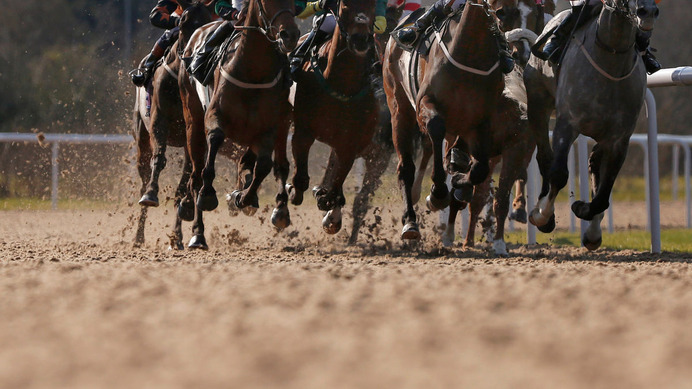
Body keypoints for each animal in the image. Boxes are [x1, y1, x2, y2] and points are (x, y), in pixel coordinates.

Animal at [130, 0, 216, 249]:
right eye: (184, 22)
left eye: (208, 24)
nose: (193, 58)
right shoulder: (159, 120)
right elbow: (159, 159)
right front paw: (151, 195)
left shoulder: (193, 131)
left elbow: (188, 183)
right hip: (141, 137)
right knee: (144, 175)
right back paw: (138, 236)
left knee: (183, 186)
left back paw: (177, 236)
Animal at [180, 0, 298, 249]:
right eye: (266, 2)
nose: (290, 35)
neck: (253, 72)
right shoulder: (213, 117)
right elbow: (214, 146)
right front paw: (208, 194)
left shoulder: (268, 128)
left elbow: (263, 166)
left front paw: (244, 198)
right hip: (192, 119)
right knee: (195, 176)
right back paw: (198, 234)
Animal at [290, 0, 382, 233]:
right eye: (345, 6)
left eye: (372, 6)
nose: (360, 39)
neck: (343, 84)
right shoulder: (303, 130)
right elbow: (300, 179)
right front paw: (293, 192)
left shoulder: (350, 142)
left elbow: (335, 182)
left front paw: (328, 203)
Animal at [384, 0, 502, 239]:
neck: (470, 49)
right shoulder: (425, 103)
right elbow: (436, 128)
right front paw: (438, 193)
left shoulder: (481, 120)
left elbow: (479, 169)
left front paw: (458, 181)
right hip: (399, 108)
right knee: (406, 167)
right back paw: (410, 221)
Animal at [524, 0, 660, 249]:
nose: (646, 12)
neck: (611, 56)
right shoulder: (567, 124)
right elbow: (559, 173)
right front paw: (542, 215)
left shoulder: (619, 139)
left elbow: (604, 193)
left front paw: (583, 211)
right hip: (537, 104)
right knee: (545, 158)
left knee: (595, 164)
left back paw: (593, 231)